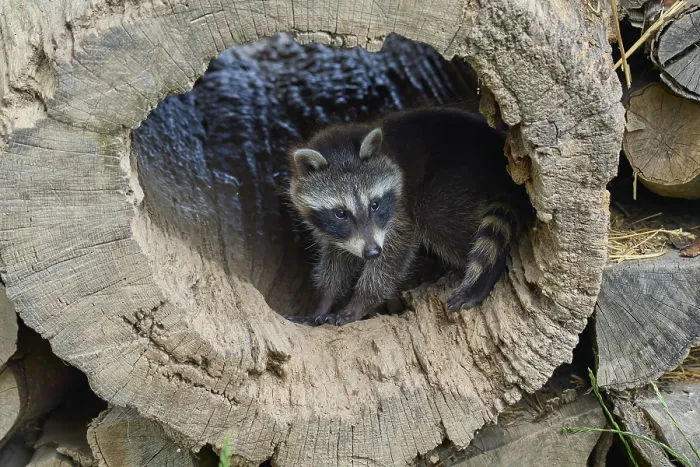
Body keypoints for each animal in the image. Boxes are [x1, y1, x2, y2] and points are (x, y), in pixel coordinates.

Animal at [286, 108, 525, 326]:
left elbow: (393, 255)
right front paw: (323, 302)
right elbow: (335, 260)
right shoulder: (335, 232)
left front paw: (360, 302)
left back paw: (486, 274)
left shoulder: (400, 210)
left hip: (457, 176)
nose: (372, 252)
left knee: (435, 214)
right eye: (340, 213)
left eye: (375, 204)